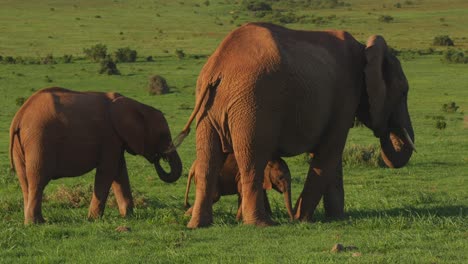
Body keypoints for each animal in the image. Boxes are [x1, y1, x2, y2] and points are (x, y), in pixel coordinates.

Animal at [9, 87, 183, 224]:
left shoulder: (116, 139)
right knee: (38, 179)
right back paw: (37, 223)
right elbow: (108, 171)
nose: (159, 158)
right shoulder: (109, 137)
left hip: (23, 145)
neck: (136, 105)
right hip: (40, 141)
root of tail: (19, 116)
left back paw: (32, 221)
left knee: (25, 181)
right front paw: (94, 219)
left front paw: (127, 216)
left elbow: (120, 172)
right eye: (163, 136)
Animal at [174, 22, 414, 228]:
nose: (387, 129)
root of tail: (218, 68)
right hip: (254, 104)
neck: (365, 49)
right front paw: (303, 219)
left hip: (209, 106)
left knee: (208, 159)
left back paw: (198, 224)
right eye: (404, 92)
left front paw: (336, 217)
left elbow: (330, 156)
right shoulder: (346, 95)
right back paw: (262, 224)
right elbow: (329, 153)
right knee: (252, 160)